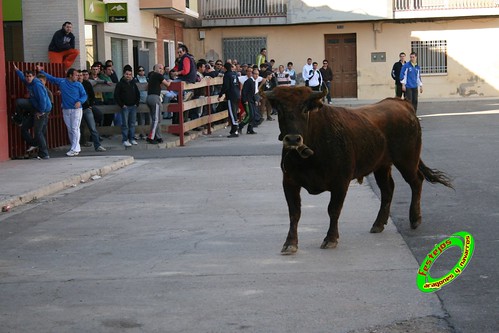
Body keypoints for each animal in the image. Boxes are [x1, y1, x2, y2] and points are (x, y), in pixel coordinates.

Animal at [264, 86, 456, 254]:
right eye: (280, 110)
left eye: (305, 109)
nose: (293, 139)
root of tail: (401, 104)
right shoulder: (289, 182)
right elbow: (294, 213)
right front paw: (290, 243)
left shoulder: (340, 182)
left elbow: (333, 209)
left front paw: (330, 239)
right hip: (382, 165)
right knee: (388, 190)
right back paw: (378, 224)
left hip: (407, 160)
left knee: (416, 181)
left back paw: (415, 219)